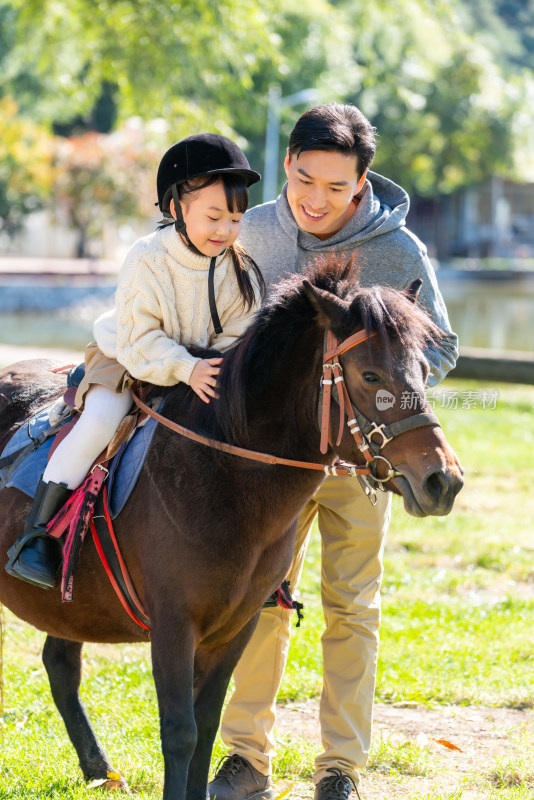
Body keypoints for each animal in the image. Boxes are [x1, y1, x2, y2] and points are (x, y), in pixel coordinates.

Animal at [0, 256, 464, 800]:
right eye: (370, 374)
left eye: (425, 371)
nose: (443, 480)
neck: (223, 472)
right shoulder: (174, 625)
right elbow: (180, 731)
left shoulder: (236, 627)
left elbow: (206, 726)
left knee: (60, 664)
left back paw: (98, 769)